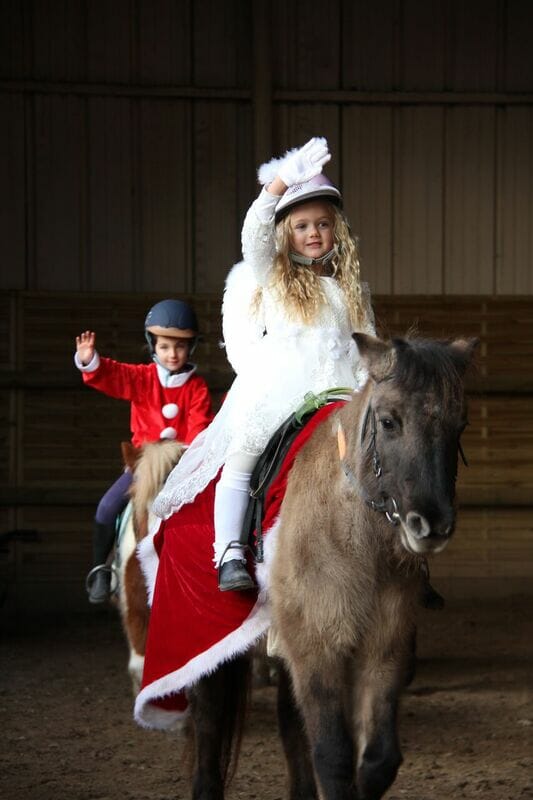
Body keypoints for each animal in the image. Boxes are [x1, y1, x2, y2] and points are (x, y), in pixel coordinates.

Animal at [185, 332, 476, 800]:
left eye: (459, 425)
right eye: (389, 422)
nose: (431, 525)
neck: (356, 539)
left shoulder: (384, 646)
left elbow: (377, 761)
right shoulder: (317, 648)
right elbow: (333, 757)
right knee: (209, 721)